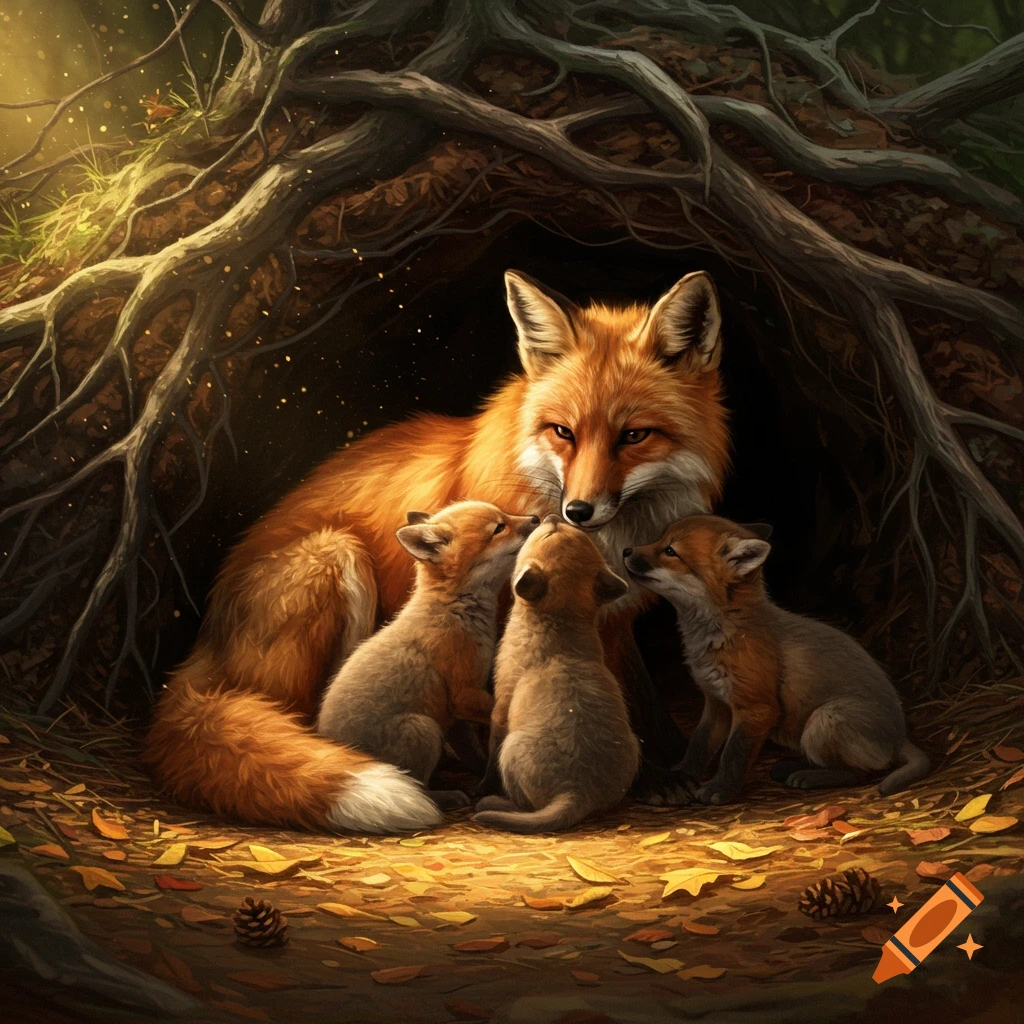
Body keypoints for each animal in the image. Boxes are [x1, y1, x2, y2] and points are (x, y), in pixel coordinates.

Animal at [317, 502, 539, 814]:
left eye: (504, 516)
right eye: (498, 528)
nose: (536, 518)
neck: (453, 610)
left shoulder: (454, 713)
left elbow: (472, 750)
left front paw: (484, 774)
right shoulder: (465, 693)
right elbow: (496, 713)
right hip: (423, 730)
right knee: (414, 789)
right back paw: (446, 797)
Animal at [473, 516, 640, 833]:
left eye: (548, 533)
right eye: (567, 531)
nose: (550, 518)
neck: (560, 619)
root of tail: (577, 792)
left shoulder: (500, 707)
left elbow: (489, 754)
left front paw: (482, 785)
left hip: (510, 749)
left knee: (525, 806)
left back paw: (493, 802)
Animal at [623, 515, 930, 804]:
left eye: (670, 551)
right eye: (659, 538)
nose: (626, 550)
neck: (724, 634)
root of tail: (898, 735)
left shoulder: (757, 708)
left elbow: (733, 755)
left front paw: (720, 790)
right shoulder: (716, 703)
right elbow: (699, 747)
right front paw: (680, 777)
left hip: (825, 721)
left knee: (860, 772)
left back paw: (809, 776)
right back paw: (792, 766)